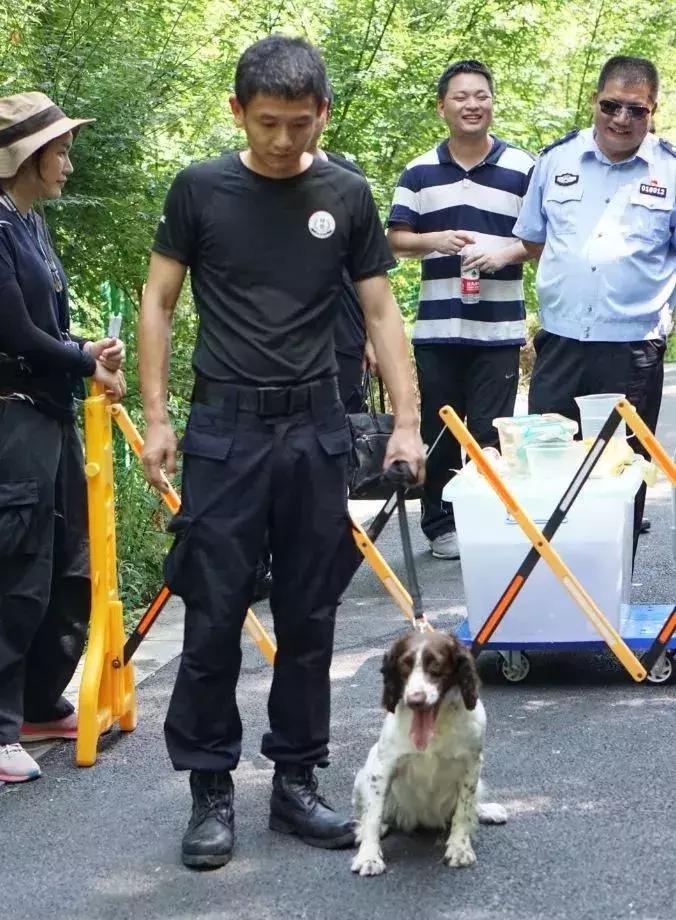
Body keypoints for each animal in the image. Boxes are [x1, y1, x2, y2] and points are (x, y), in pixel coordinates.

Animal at [352, 632, 504, 876]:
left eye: (436, 665)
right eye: (404, 665)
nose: (416, 700)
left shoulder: (472, 765)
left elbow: (464, 810)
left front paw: (459, 848)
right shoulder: (382, 767)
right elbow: (373, 814)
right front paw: (369, 856)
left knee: (472, 807)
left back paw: (487, 811)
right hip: (364, 774)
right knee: (374, 812)